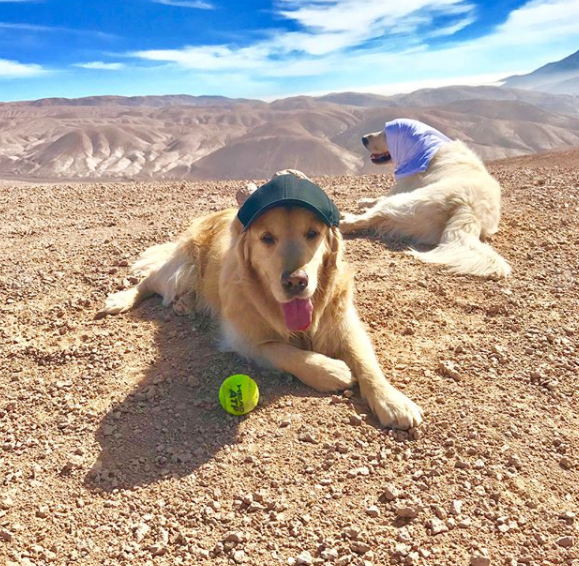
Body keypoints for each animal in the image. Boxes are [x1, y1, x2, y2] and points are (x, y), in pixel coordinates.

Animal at [99, 176, 424, 430]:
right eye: (267, 238)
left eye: (313, 234)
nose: (296, 282)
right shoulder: (245, 339)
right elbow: (284, 351)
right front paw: (331, 371)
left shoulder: (346, 324)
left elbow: (366, 361)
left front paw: (392, 400)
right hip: (182, 269)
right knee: (152, 278)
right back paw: (121, 299)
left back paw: (185, 304)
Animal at [340, 120, 512, 280]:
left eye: (385, 133)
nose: (363, 138)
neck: (429, 150)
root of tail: (470, 209)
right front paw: (365, 201)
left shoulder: (404, 187)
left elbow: (381, 198)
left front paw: (364, 203)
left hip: (406, 201)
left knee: (367, 218)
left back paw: (345, 219)